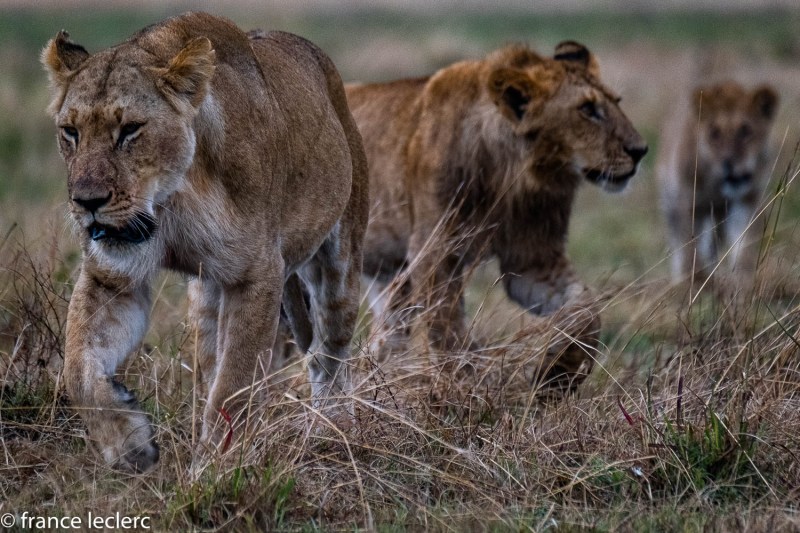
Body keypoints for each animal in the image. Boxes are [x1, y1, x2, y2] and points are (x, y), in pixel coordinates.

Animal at [42, 12, 368, 472]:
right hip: (205, 297)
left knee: (330, 357)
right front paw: (128, 444)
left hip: (338, 262)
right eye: (70, 132)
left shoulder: (258, 275)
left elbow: (233, 386)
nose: (87, 203)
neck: (171, 202)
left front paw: (214, 469)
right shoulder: (112, 276)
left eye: (130, 130)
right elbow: (78, 369)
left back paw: (332, 427)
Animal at [346, 42, 647, 362]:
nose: (641, 150)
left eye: (617, 102)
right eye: (587, 109)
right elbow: (452, 340)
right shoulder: (433, 253)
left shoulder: (533, 259)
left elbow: (587, 309)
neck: (513, 175)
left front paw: (561, 367)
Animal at [658, 81, 778, 283]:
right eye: (715, 133)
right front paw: (695, 281)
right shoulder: (690, 203)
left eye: (745, 131)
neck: (717, 187)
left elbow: (744, 244)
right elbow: (689, 248)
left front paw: (742, 278)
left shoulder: (747, 200)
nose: (728, 162)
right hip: (672, 206)